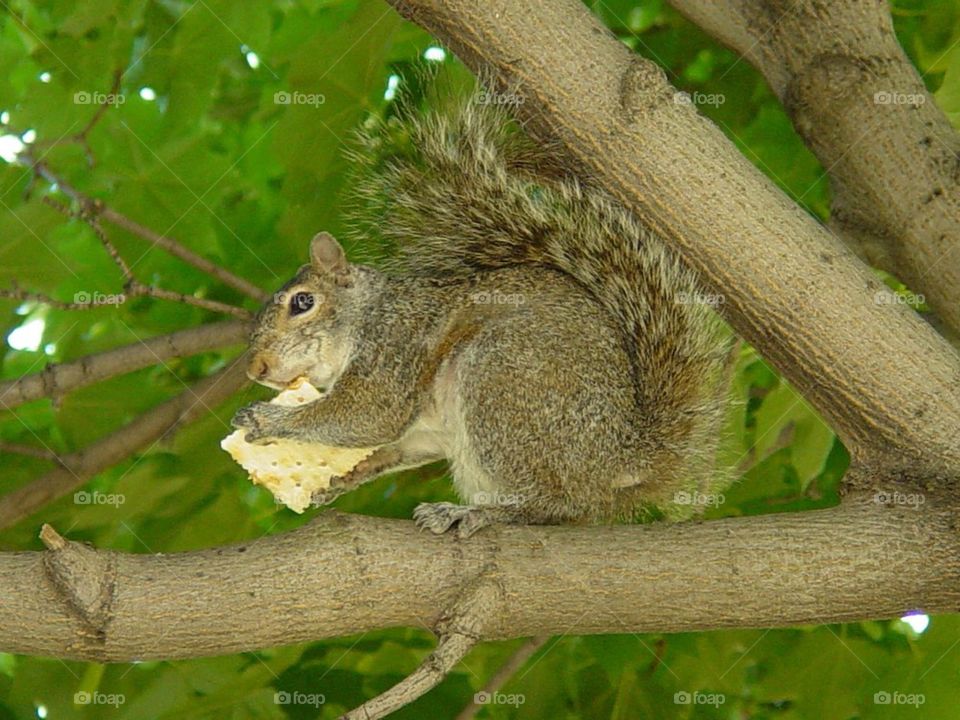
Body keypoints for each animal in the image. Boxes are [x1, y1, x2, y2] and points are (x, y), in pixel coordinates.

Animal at [231, 86, 728, 536]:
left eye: (303, 302)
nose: (257, 368)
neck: (366, 315)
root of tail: (621, 458)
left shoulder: (397, 344)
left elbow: (368, 414)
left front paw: (267, 419)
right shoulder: (426, 431)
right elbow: (393, 444)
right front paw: (340, 477)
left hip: (501, 381)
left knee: (561, 506)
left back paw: (479, 514)